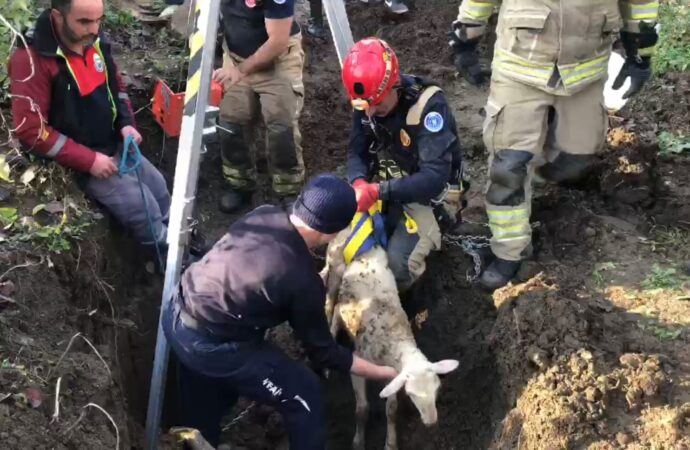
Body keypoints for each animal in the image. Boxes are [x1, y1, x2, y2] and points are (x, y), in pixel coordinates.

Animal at [322, 229, 456, 450]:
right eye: (411, 394)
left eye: (437, 388)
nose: (431, 423)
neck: (395, 337)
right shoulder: (358, 365)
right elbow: (362, 408)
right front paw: (358, 441)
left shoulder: (392, 375)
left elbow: (391, 410)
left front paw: (391, 443)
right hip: (335, 269)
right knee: (329, 306)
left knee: (338, 309)